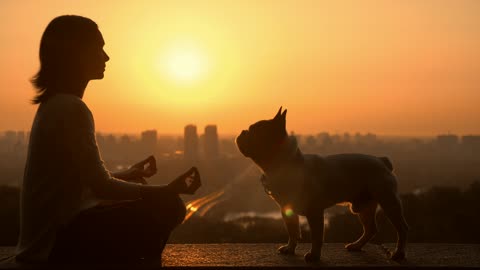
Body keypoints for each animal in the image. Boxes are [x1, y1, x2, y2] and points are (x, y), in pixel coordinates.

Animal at [236, 107, 408, 262]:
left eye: (254, 131)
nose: (242, 131)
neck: (285, 164)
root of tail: (382, 161)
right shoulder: (286, 209)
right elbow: (293, 230)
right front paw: (290, 249)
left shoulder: (314, 211)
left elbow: (317, 236)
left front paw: (314, 256)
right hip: (365, 205)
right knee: (370, 228)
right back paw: (356, 246)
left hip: (388, 200)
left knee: (402, 228)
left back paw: (398, 253)